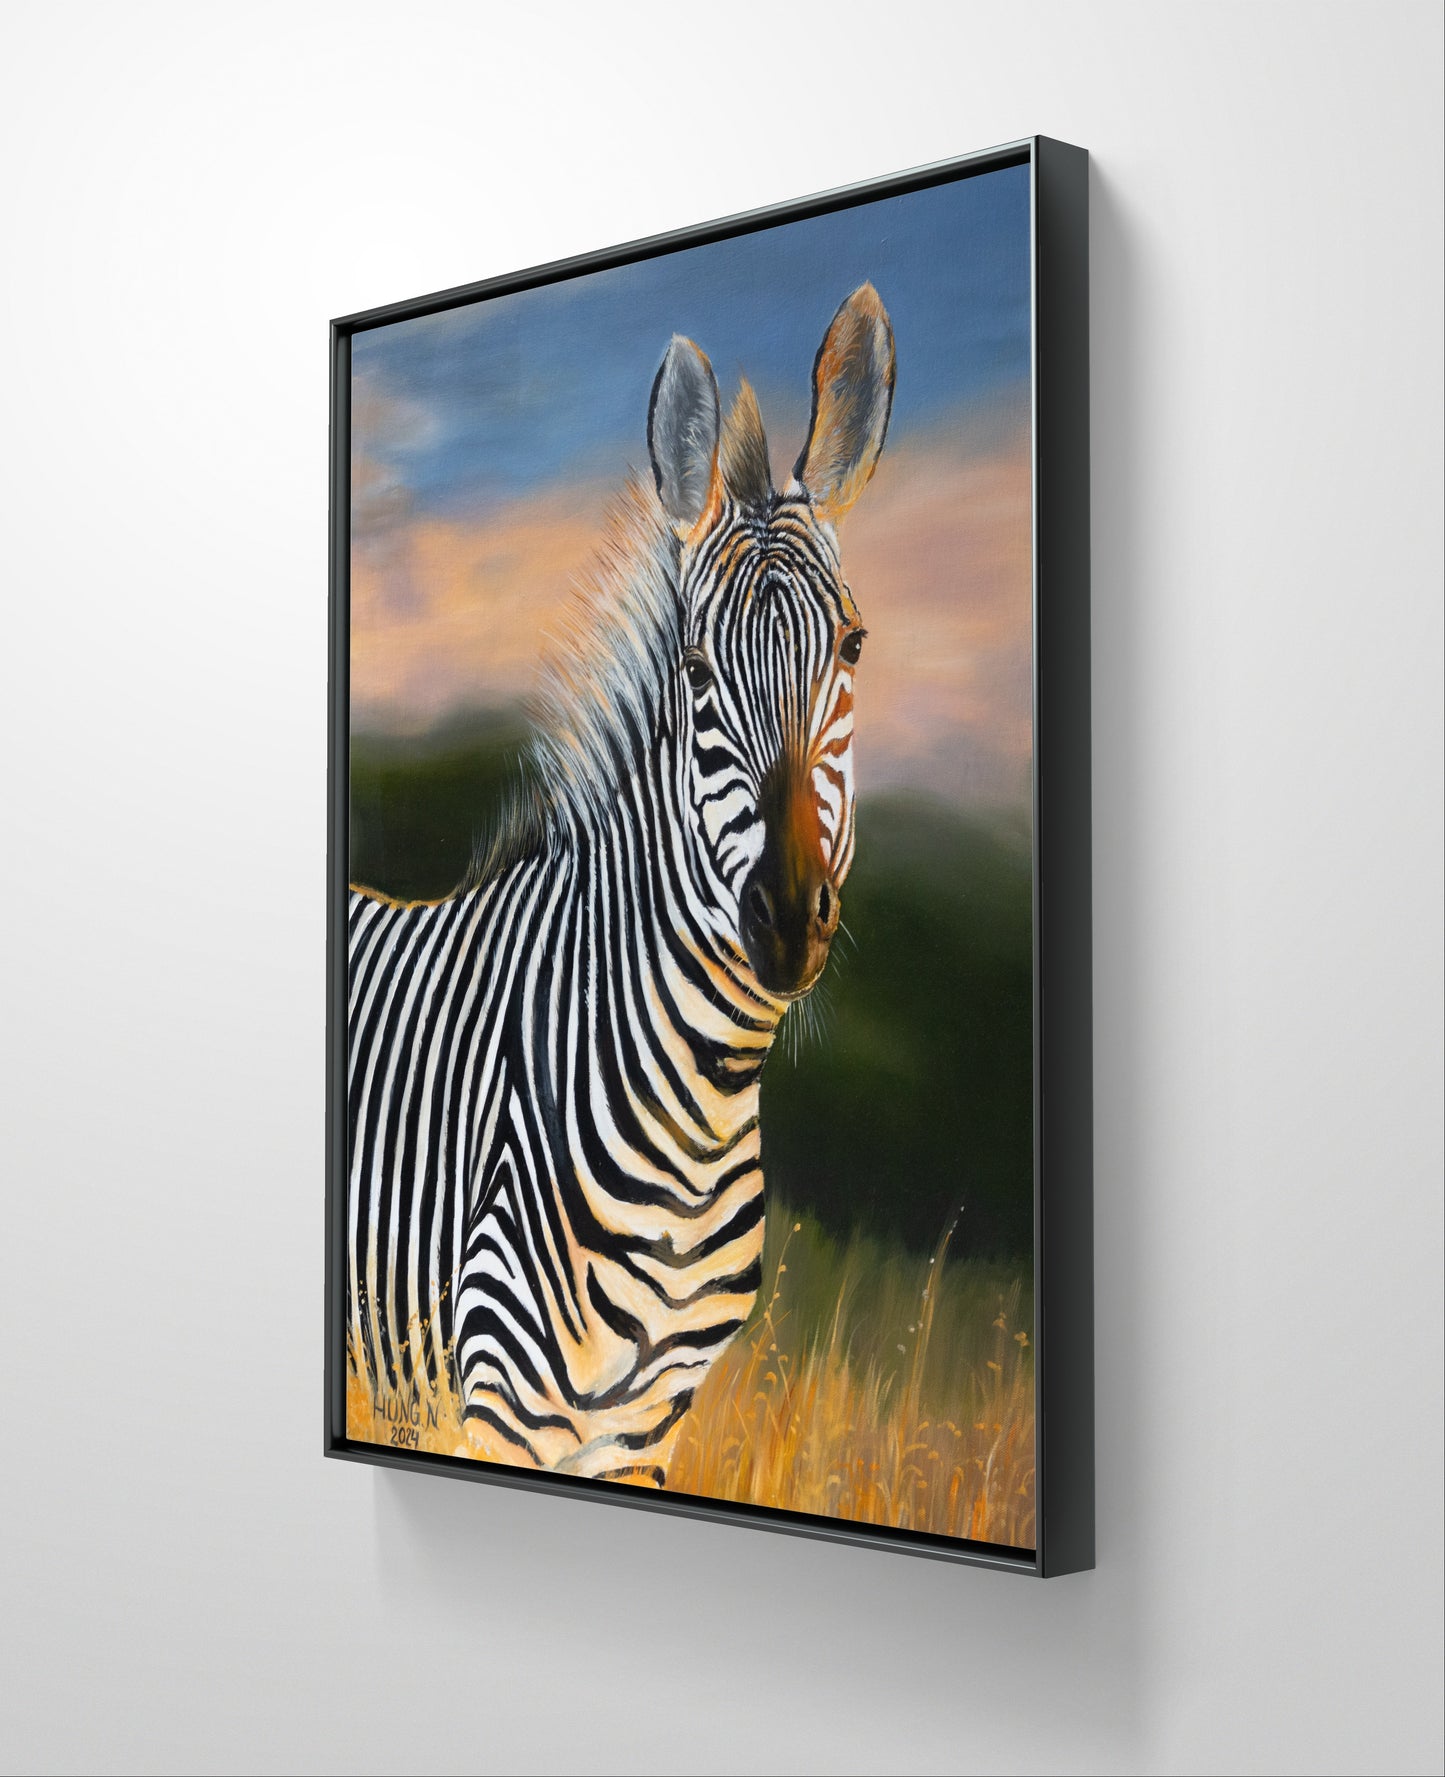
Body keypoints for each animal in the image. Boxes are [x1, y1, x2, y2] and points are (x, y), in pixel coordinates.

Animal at [347, 284, 895, 1487]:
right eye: (694, 670)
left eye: (852, 647)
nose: (787, 921)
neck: (697, 1107)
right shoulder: (499, 1398)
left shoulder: (646, 1424)